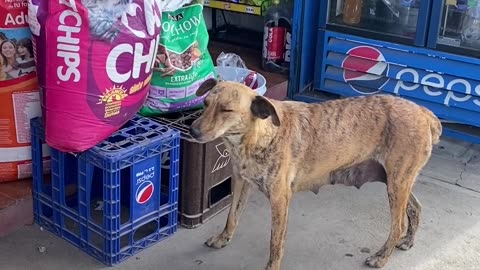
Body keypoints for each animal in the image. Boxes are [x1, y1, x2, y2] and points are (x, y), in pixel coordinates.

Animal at [188, 78, 442, 270]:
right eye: (206, 103)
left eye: (226, 110)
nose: (192, 130)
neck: (260, 134)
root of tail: (425, 112)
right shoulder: (241, 182)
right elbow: (232, 215)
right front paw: (223, 238)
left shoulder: (280, 199)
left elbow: (275, 243)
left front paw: (271, 266)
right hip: (397, 181)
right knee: (415, 208)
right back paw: (408, 240)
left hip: (397, 183)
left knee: (397, 225)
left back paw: (381, 257)